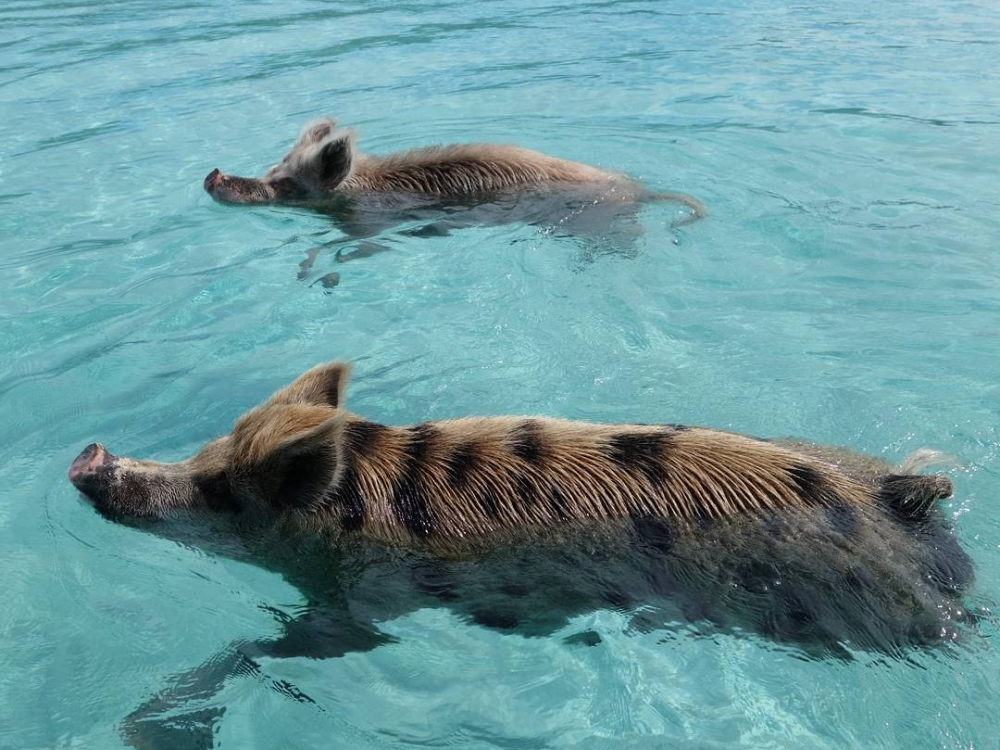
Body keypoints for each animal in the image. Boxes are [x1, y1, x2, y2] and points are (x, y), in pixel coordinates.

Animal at [70, 362, 976, 748]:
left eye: (223, 488)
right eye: (206, 450)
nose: (91, 456)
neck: (362, 493)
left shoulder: (372, 598)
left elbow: (277, 647)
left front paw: (140, 726)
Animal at [201, 117, 704, 270]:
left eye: (286, 184)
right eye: (273, 167)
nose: (214, 174)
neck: (365, 182)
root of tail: (641, 189)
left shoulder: (370, 223)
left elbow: (354, 247)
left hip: (601, 223)